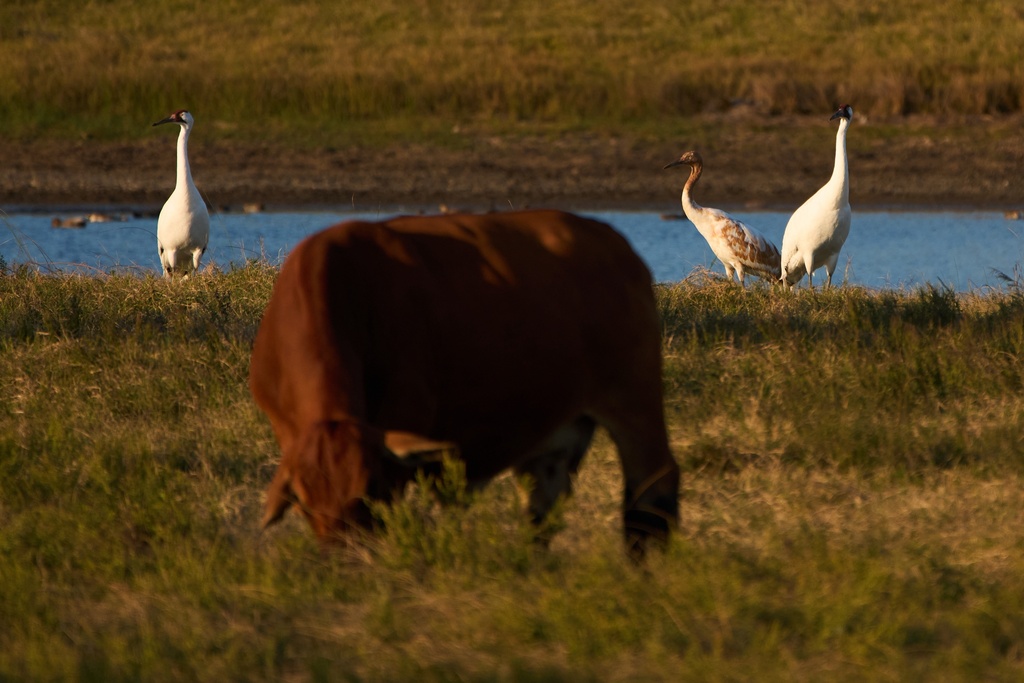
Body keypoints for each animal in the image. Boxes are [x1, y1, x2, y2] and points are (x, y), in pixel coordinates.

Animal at [250, 208, 680, 556]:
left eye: (366, 493)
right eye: (304, 502)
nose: (344, 558)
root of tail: (609, 238)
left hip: (635, 403)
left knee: (651, 497)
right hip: (554, 435)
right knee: (544, 508)